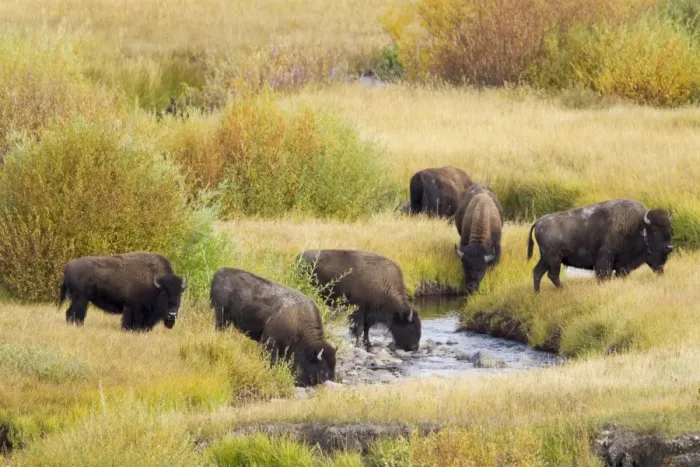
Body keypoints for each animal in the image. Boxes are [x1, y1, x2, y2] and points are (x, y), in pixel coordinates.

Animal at [58, 251, 187, 331]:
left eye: (180, 294)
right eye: (164, 293)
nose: (172, 314)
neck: (154, 284)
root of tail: (68, 266)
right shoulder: (132, 308)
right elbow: (128, 324)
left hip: (78, 300)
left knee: (69, 313)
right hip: (81, 299)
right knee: (76, 314)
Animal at [527, 199, 673, 292]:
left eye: (670, 229)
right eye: (655, 230)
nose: (669, 247)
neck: (637, 226)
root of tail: (539, 222)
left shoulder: (622, 266)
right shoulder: (605, 258)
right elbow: (603, 275)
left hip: (545, 259)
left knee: (537, 272)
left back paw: (537, 293)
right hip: (554, 259)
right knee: (552, 275)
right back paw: (563, 290)